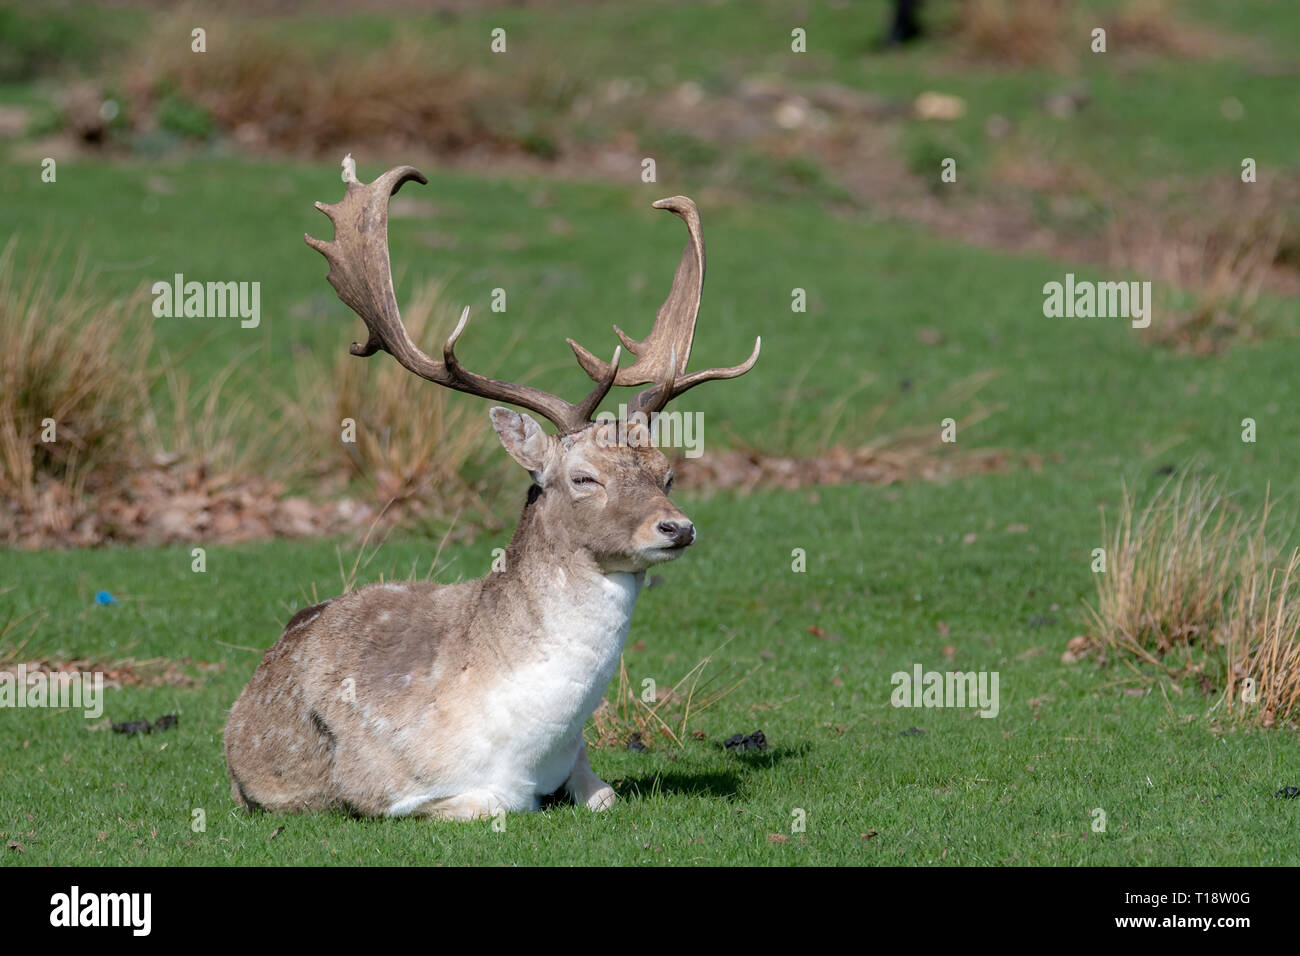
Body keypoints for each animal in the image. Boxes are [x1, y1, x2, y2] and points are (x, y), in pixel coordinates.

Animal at [223, 155, 759, 821]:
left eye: (667, 472)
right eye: (583, 477)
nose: (677, 527)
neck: (524, 746)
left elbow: (603, 795)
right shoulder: (379, 786)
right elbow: (491, 806)